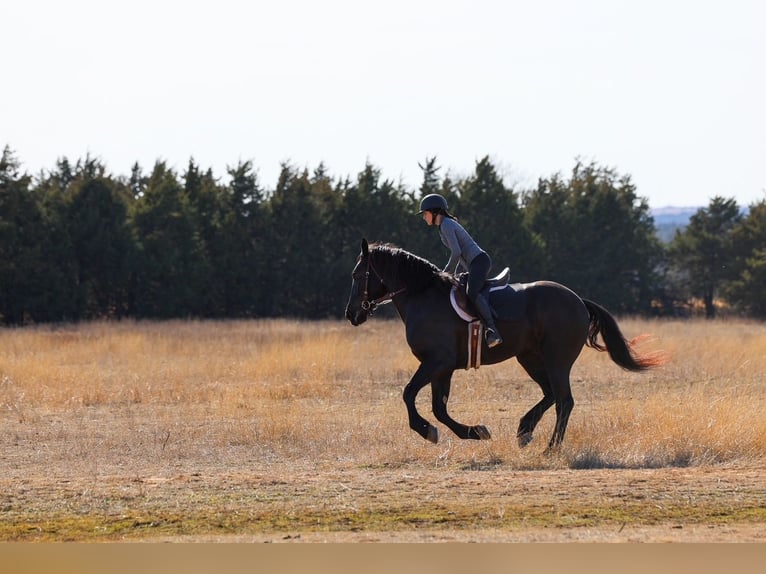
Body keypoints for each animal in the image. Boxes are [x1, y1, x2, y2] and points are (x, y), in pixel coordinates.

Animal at [344, 238, 664, 449]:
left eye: (357, 274)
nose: (351, 314)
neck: (422, 295)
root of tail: (577, 300)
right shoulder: (442, 368)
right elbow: (439, 408)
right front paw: (475, 432)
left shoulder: (437, 362)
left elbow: (409, 394)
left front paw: (427, 431)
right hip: (530, 358)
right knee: (550, 394)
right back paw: (524, 430)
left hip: (556, 359)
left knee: (564, 400)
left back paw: (551, 447)